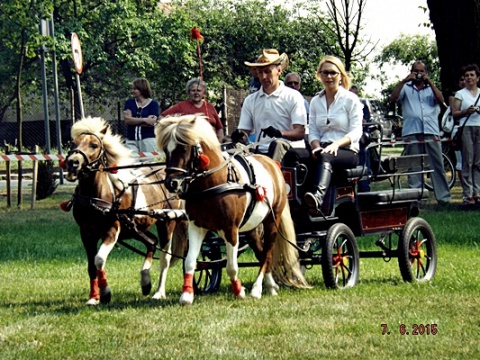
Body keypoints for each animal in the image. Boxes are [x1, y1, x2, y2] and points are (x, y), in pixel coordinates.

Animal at [64, 116, 188, 306]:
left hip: (167, 222)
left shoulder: (112, 230)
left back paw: (159, 292)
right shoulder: (86, 233)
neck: (96, 196)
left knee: (165, 257)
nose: (72, 163)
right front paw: (93, 297)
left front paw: (105, 293)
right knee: (151, 242)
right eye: (73, 143)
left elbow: (99, 260)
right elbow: (91, 266)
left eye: (94, 145)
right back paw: (145, 281)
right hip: (133, 228)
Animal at [156, 114, 310, 306]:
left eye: (183, 148)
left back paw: (257, 289)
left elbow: (231, 266)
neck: (214, 183)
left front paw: (239, 291)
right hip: (251, 228)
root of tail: (272, 164)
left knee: (267, 253)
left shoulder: (231, 229)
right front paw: (186, 295)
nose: (172, 183)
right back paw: (271, 286)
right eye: (166, 150)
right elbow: (190, 261)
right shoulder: (196, 226)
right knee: (261, 253)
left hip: (271, 221)